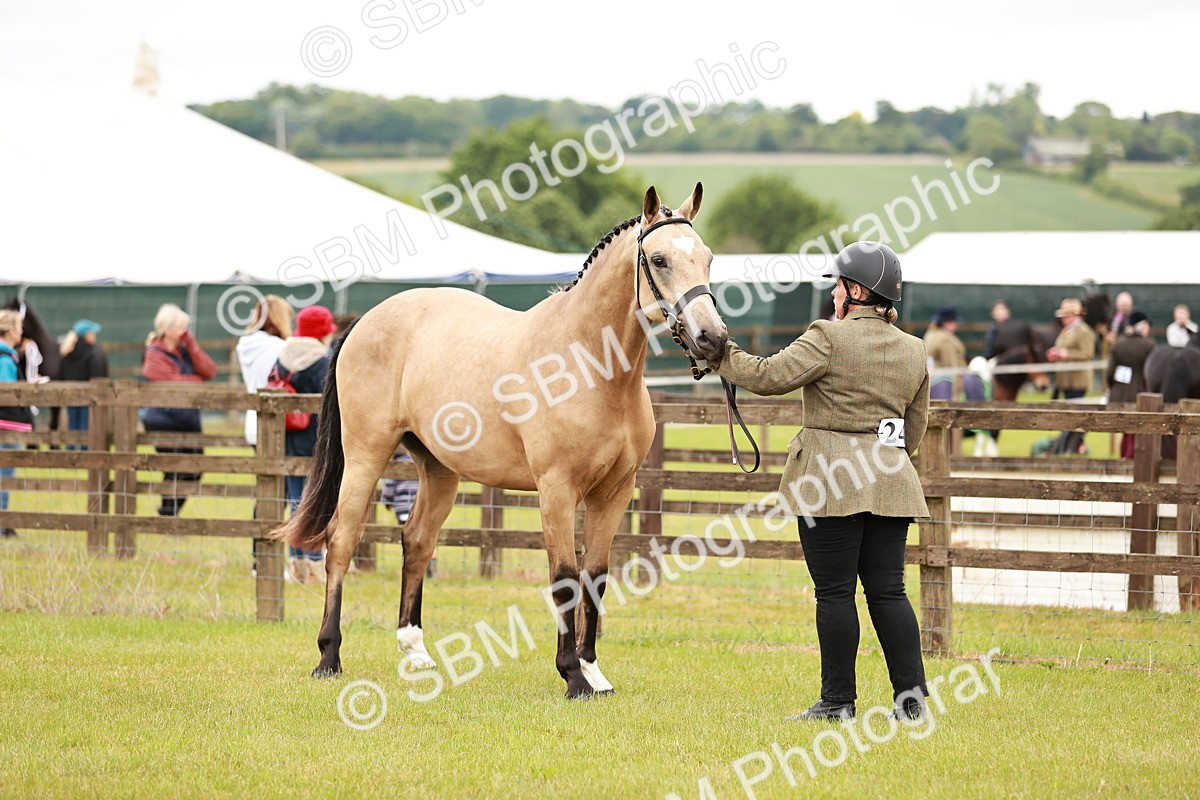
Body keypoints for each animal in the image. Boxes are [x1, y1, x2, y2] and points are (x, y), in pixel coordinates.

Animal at [273, 185, 728, 698]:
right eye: (659, 259)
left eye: (708, 258)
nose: (712, 339)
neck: (587, 363)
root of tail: (367, 320)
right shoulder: (556, 490)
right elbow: (564, 579)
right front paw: (573, 677)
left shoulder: (614, 492)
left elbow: (595, 578)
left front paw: (594, 672)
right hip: (366, 457)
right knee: (341, 541)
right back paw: (328, 657)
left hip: (439, 469)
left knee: (417, 541)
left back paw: (416, 652)